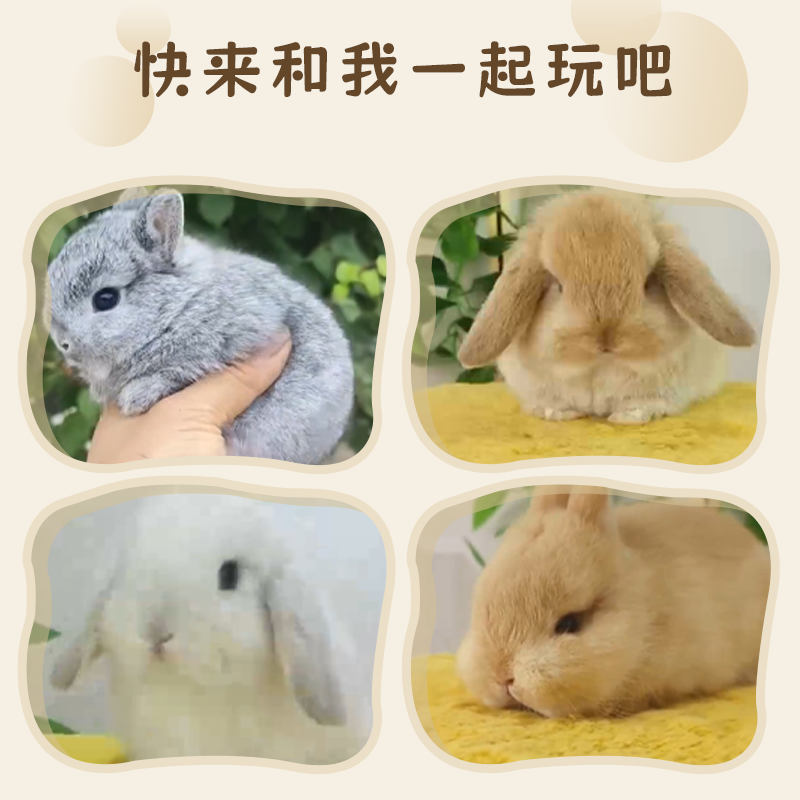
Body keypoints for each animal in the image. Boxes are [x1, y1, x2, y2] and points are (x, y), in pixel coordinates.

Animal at [458, 190, 756, 424]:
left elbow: (649, 404)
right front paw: (558, 413)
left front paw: (628, 417)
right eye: (557, 285)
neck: (598, 367)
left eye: (649, 282)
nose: (606, 338)